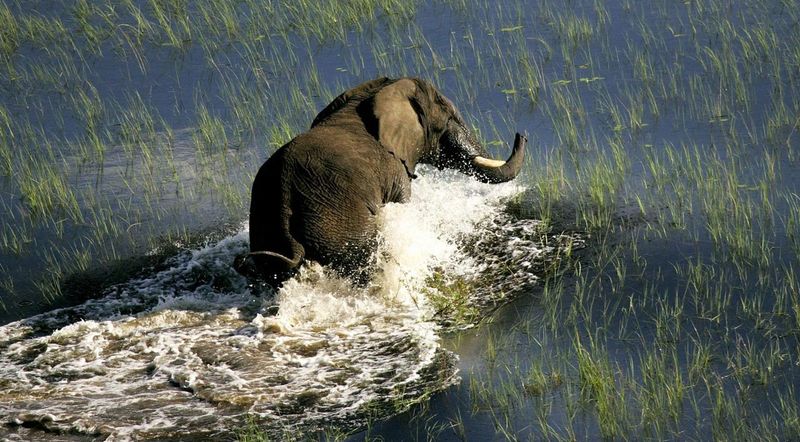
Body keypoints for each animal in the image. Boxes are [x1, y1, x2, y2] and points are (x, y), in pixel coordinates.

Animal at [236, 76, 526, 284]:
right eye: (447, 118)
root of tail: (284, 198)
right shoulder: (395, 169)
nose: (521, 134)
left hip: (267, 229)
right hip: (340, 226)